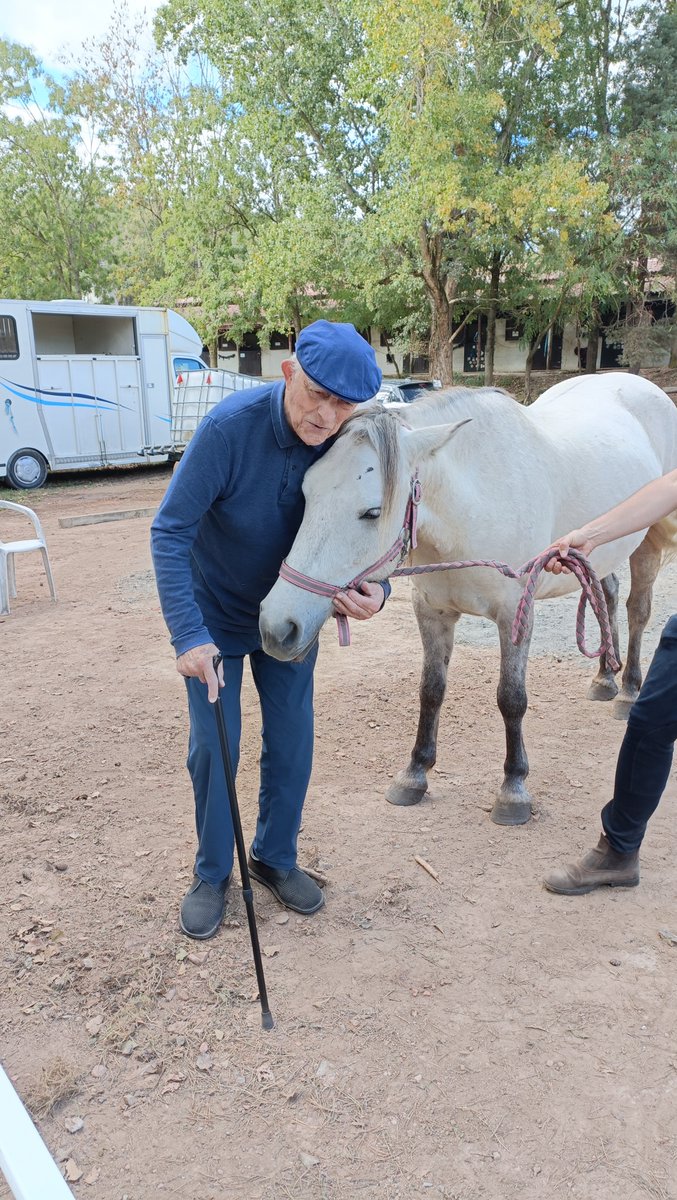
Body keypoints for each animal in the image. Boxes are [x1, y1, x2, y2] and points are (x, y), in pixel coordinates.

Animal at [259, 373, 677, 826]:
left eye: (372, 512)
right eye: (306, 492)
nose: (278, 627)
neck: (476, 503)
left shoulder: (515, 614)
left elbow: (511, 698)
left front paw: (513, 789)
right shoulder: (432, 612)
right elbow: (431, 690)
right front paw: (415, 773)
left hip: (646, 539)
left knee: (638, 611)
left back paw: (629, 691)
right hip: (596, 553)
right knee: (607, 594)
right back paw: (604, 678)